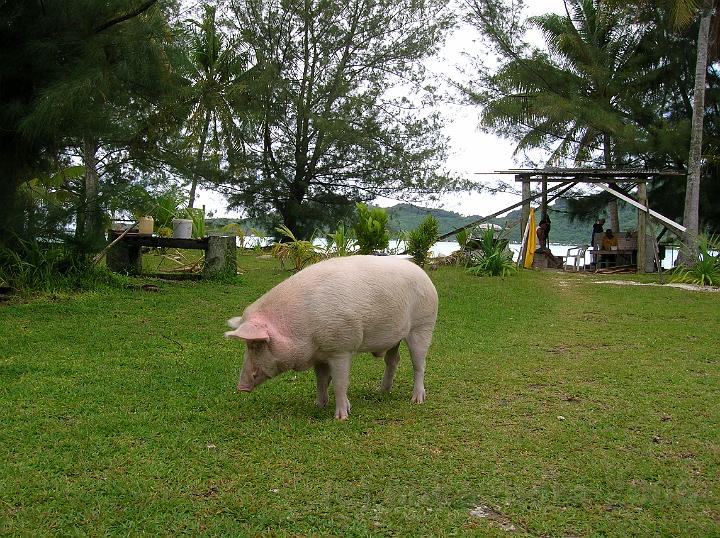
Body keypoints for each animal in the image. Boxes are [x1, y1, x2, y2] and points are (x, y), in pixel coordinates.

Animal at [225, 254, 438, 418]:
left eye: (255, 345)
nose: (240, 387)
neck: (299, 326)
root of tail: (425, 275)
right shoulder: (319, 355)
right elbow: (321, 381)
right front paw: (318, 405)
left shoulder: (341, 349)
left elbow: (339, 382)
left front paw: (341, 416)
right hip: (396, 337)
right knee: (393, 360)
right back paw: (382, 390)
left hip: (423, 325)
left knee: (419, 364)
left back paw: (417, 400)